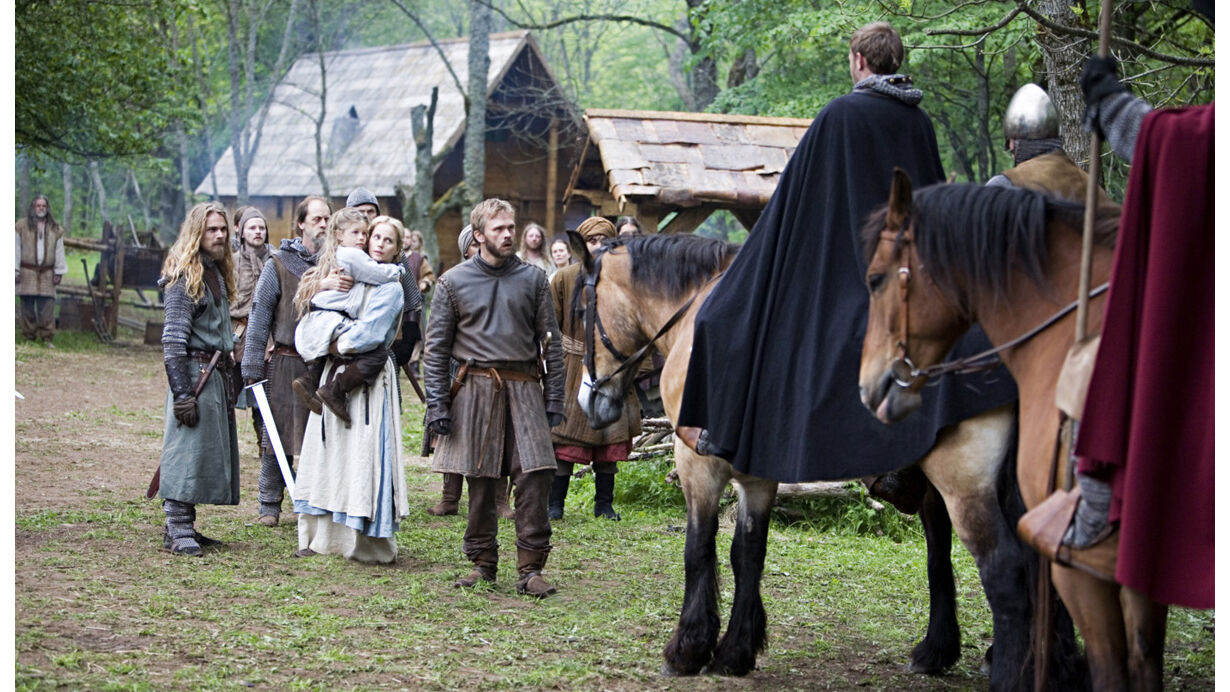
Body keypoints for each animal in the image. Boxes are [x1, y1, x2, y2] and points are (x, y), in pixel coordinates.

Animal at [567, 231, 1083, 689]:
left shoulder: (698, 464)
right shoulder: (756, 477)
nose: (589, 401)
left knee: (1007, 572)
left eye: (580, 311)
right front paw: (735, 651)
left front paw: (689, 649)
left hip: (962, 483)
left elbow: (699, 549)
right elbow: (747, 553)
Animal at [858, 169, 1167, 690]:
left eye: (876, 279)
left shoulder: (945, 483)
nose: (871, 385)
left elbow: (939, 553)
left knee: (1005, 568)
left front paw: (937, 648)